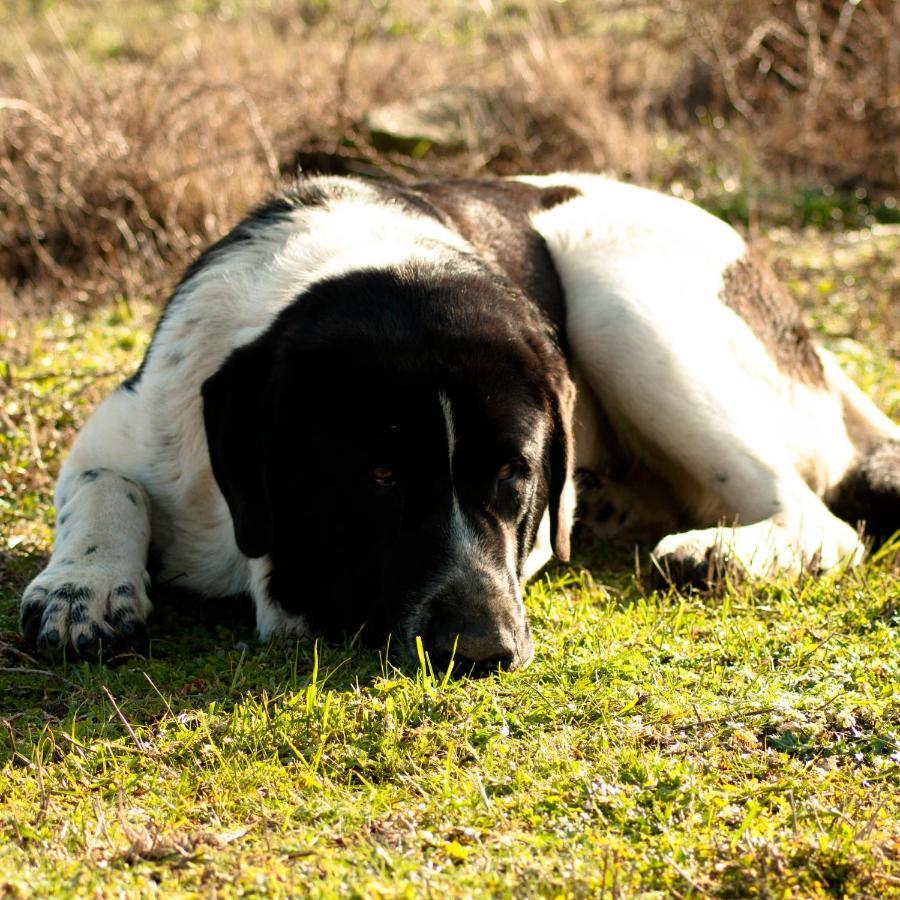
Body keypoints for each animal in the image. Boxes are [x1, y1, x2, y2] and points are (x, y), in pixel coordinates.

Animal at [19, 174, 900, 668]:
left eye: (514, 474)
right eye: (378, 475)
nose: (481, 650)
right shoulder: (128, 426)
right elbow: (105, 490)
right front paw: (83, 587)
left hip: (618, 299)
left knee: (820, 523)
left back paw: (717, 555)